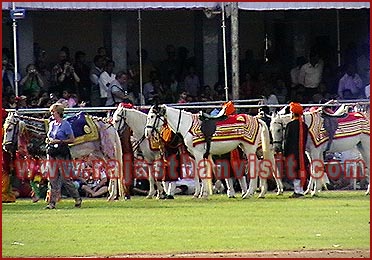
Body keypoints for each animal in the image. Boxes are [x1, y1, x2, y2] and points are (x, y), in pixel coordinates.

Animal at [145, 104, 276, 198]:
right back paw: (255, 192)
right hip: (245, 147)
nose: (147, 133)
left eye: (152, 116)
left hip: (249, 149)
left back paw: (248, 193)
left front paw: (203, 194)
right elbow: (198, 174)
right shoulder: (195, 156)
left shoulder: (198, 154)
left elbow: (201, 173)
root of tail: (257, 119)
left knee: (254, 168)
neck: (187, 125)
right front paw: (198, 193)